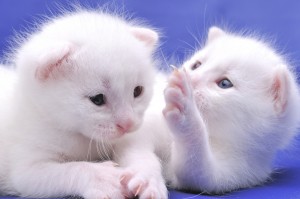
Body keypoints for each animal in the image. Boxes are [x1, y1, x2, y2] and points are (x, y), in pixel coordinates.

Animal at [0, 8, 159, 198]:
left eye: (138, 91)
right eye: (97, 99)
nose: (128, 124)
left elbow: (137, 150)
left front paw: (147, 177)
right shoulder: (24, 169)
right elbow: (70, 170)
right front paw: (103, 179)